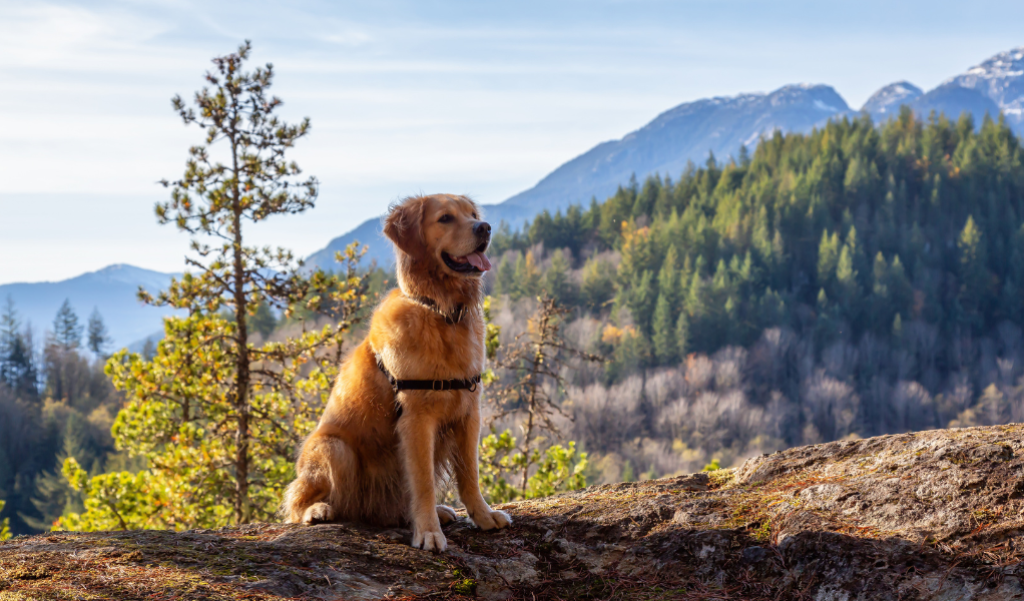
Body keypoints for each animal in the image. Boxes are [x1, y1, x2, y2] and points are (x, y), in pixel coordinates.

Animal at [282, 195, 509, 552]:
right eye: (445, 218)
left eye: (472, 215)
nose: (484, 228)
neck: (440, 311)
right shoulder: (417, 418)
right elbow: (424, 483)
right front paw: (428, 533)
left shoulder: (468, 412)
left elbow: (469, 475)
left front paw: (483, 517)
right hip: (335, 449)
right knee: (299, 501)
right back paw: (316, 510)